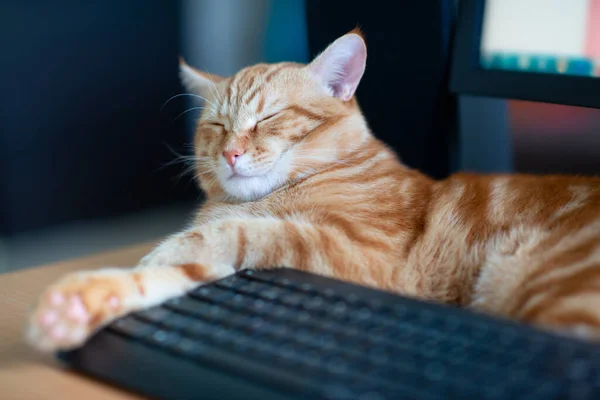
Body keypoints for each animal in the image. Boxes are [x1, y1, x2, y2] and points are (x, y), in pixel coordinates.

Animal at [25, 29, 600, 352]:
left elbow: (241, 234)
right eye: (217, 126)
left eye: (267, 119)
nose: (231, 153)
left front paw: (161, 250)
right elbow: (180, 272)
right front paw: (75, 308)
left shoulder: (365, 260)